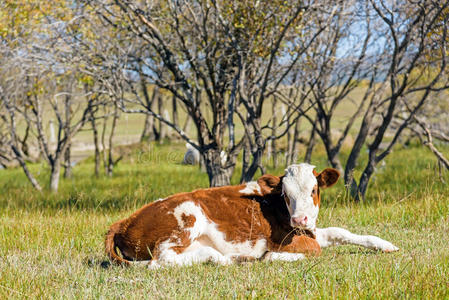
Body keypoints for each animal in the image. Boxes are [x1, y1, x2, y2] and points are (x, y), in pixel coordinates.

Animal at [106, 164, 400, 268]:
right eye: (285, 193)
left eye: (314, 189)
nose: (299, 220)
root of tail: (123, 221)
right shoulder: (294, 239)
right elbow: (314, 250)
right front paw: (269, 256)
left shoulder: (311, 230)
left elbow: (341, 232)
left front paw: (386, 245)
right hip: (187, 218)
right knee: (162, 260)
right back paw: (234, 258)